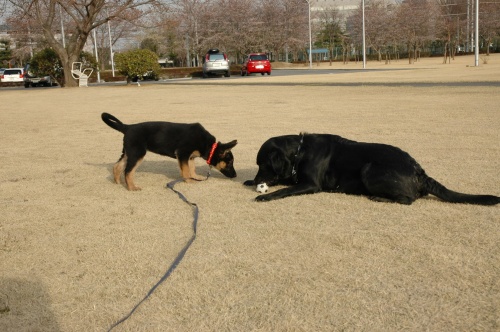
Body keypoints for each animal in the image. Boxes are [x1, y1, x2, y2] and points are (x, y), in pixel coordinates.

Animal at [102, 112, 237, 191]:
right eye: (230, 163)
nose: (235, 176)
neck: (209, 145)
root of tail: (127, 127)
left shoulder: (190, 157)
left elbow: (192, 168)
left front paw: (194, 177)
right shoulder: (183, 153)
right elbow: (186, 170)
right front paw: (189, 181)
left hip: (128, 152)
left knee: (117, 166)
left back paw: (117, 182)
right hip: (137, 153)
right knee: (128, 171)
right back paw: (131, 187)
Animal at [244, 133, 498, 205]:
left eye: (262, 164)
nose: (256, 180)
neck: (299, 151)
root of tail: (420, 171)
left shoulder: (311, 184)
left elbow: (284, 189)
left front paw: (265, 196)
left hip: (369, 170)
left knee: (408, 200)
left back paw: (380, 198)